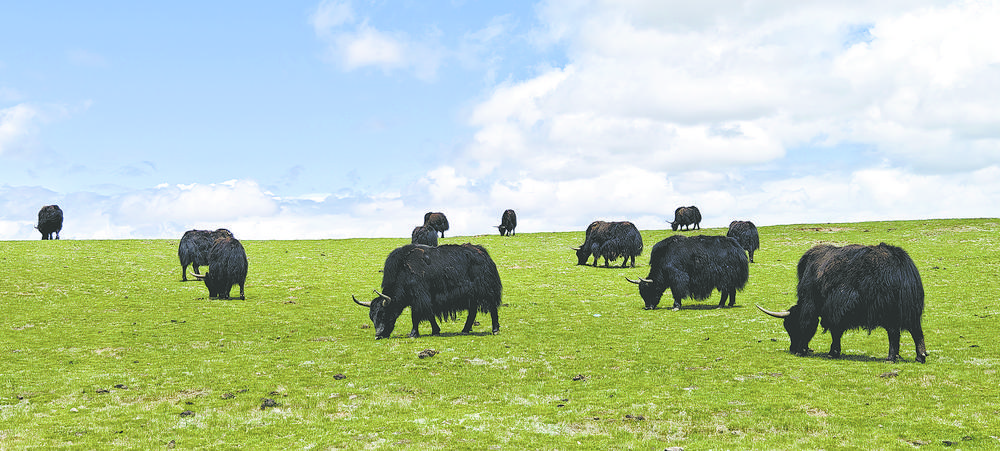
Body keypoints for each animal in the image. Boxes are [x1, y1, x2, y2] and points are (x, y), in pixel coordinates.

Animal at [353, 243, 502, 339]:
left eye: (383, 314)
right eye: (371, 316)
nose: (378, 335)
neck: (403, 271)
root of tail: (484, 254)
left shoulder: (419, 297)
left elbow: (416, 316)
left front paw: (413, 334)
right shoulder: (426, 299)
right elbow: (429, 314)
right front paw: (436, 330)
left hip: (486, 290)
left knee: (492, 307)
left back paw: (495, 330)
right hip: (471, 295)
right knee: (473, 311)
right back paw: (465, 330)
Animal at [756, 243, 927, 363]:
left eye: (791, 326)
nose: (792, 349)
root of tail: (903, 264)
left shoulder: (817, 307)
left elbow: (819, 327)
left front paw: (823, 352)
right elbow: (836, 331)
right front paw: (833, 352)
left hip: (889, 312)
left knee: (894, 333)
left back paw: (890, 358)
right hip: (912, 311)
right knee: (916, 332)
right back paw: (920, 357)